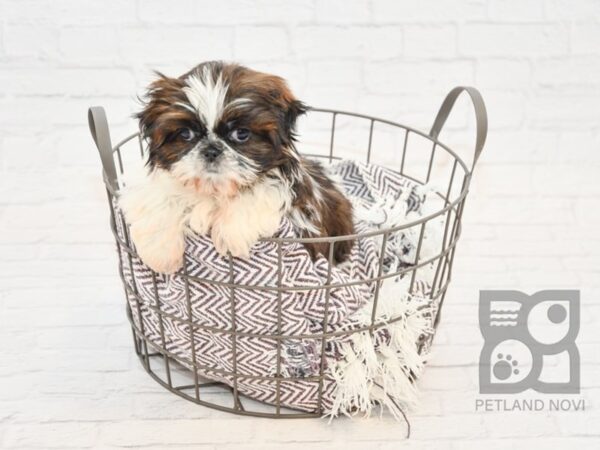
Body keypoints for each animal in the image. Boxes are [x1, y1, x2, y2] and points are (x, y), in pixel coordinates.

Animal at [123, 61, 356, 274]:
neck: (213, 191)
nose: (211, 150)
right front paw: (160, 254)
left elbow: (261, 190)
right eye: (186, 134)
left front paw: (230, 234)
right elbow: (159, 199)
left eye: (241, 134)